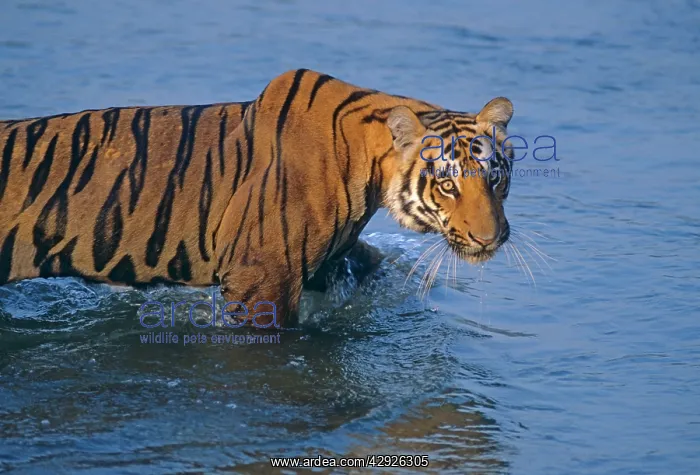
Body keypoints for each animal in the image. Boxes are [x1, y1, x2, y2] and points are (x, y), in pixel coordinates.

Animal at [0, 68, 514, 328]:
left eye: (495, 178)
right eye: (447, 185)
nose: (491, 239)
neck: (367, 164)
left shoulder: (332, 260)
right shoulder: (262, 276)